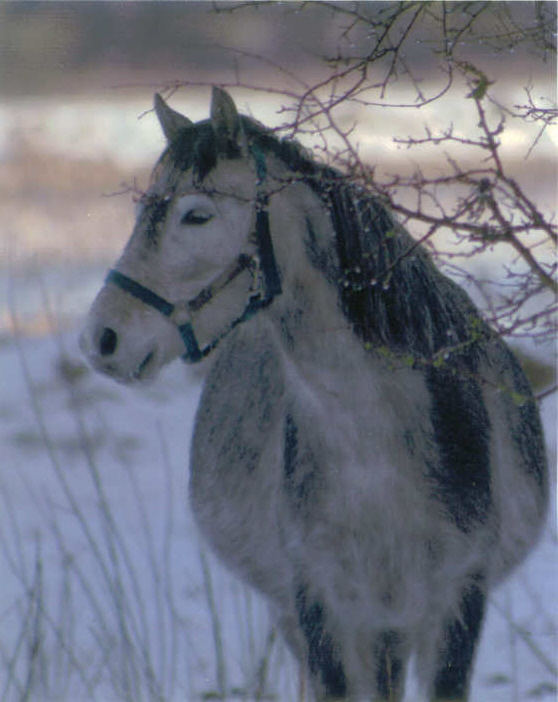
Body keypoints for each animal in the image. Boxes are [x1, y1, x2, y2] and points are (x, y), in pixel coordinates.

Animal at [81, 89, 548, 702]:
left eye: (196, 214)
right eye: (142, 211)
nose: (101, 338)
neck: (377, 451)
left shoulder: (456, 606)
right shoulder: (322, 610)